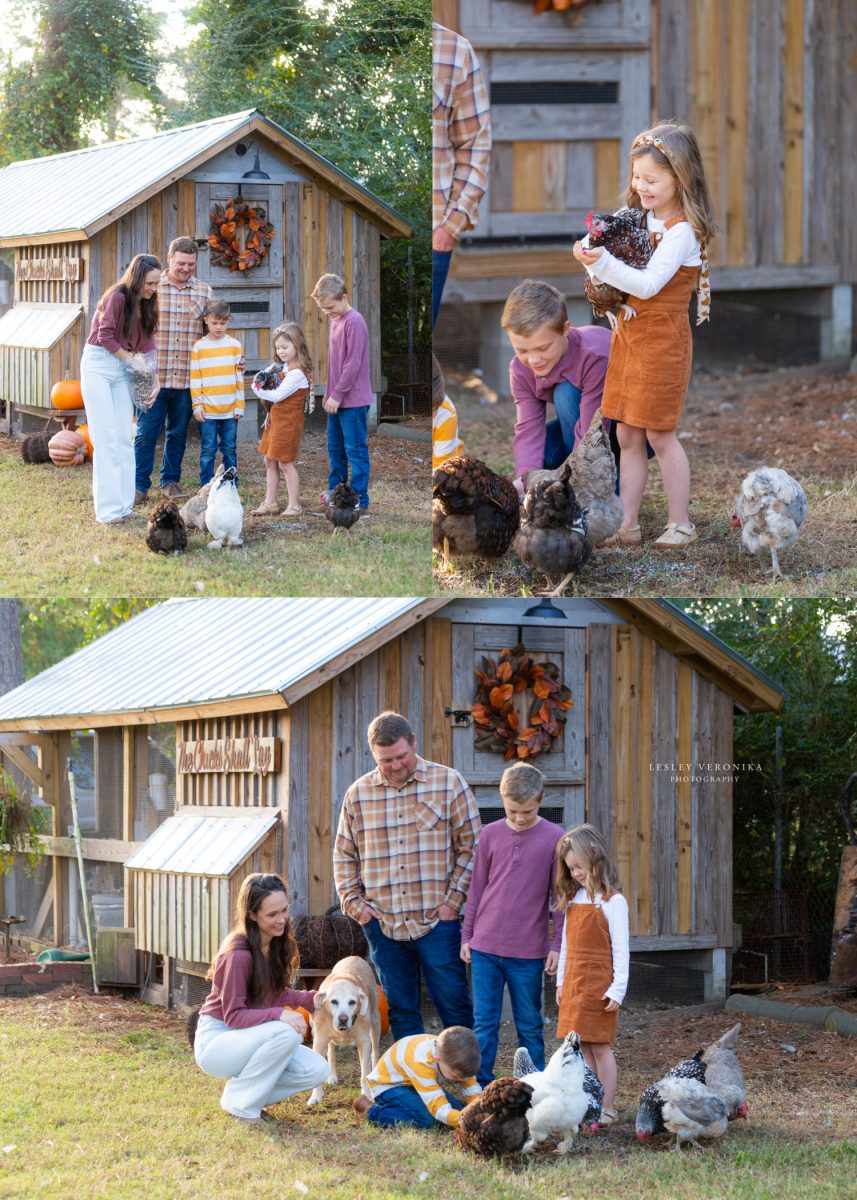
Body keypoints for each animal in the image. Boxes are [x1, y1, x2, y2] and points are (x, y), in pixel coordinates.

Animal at [303, 955, 376, 1104]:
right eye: (334, 1001)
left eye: (352, 1002)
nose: (343, 1019)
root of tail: (354, 956)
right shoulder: (319, 1041)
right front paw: (316, 1096)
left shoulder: (364, 1042)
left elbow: (364, 1071)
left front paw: (366, 1094)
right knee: (331, 1053)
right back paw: (332, 1077)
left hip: (375, 1022)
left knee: (375, 1052)